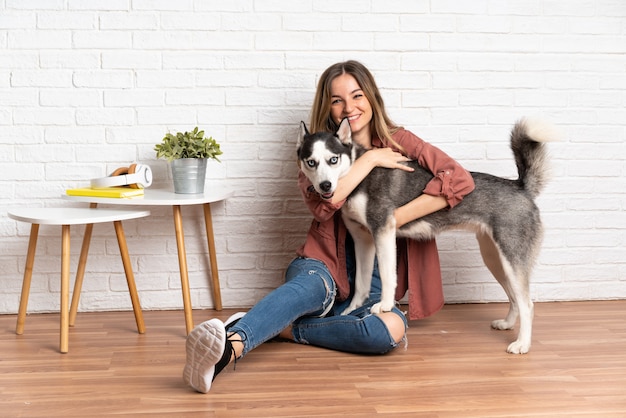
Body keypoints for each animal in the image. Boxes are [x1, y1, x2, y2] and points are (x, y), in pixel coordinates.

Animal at [294, 116, 560, 352]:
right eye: (311, 162)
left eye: (333, 159)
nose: (325, 186)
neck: (358, 173)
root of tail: (519, 186)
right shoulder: (363, 239)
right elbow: (360, 283)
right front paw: (351, 310)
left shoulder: (383, 231)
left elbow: (389, 276)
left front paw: (385, 306)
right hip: (496, 260)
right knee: (515, 297)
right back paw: (507, 324)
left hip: (511, 259)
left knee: (527, 303)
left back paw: (522, 344)